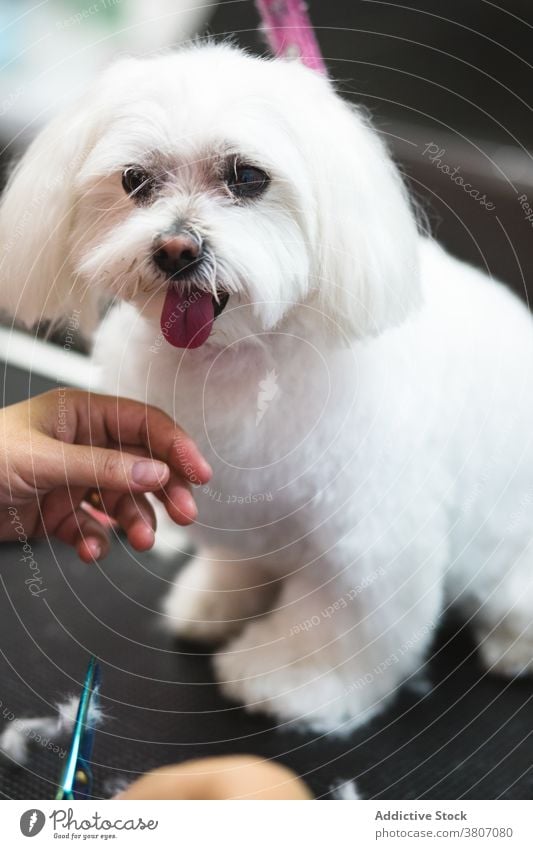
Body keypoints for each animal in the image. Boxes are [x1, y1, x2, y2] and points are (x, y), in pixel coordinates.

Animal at [1, 43, 532, 728]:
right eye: (134, 180)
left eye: (247, 177)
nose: (176, 249)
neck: (240, 356)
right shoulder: (247, 509)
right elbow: (241, 563)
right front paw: (214, 603)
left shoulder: (370, 541)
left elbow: (340, 624)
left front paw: (287, 679)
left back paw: (513, 645)